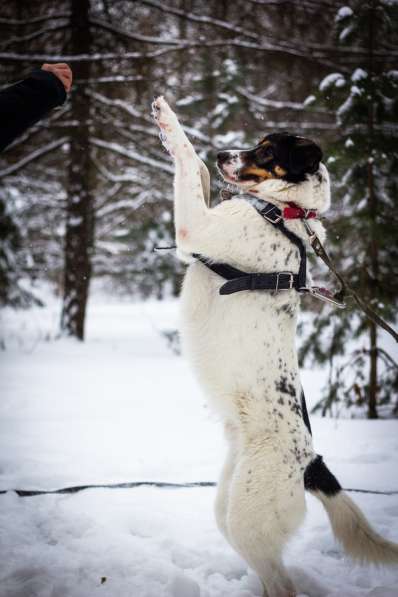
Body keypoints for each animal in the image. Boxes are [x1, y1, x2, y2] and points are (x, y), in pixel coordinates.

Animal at [152, 95, 398, 592]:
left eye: (266, 152)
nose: (225, 151)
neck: (284, 214)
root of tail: (311, 463)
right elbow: (199, 171)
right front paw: (177, 137)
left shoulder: (194, 230)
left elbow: (188, 161)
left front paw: (169, 120)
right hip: (229, 506)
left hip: (248, 515)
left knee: (283, 585)